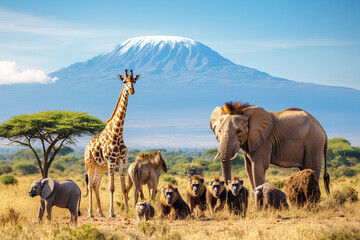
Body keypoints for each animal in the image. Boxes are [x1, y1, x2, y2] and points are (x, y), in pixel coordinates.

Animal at [84, 69, 141, 218]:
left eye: (134, 81)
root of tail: (87, 146)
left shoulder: (122, 160)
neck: (118, 133)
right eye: (124, 81)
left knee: (95, 185)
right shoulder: (111, 161)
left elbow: (123, 188)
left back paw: (100, 212)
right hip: (90, 163)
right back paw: (91, 213)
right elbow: (111, 188)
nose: (131, 90)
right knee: (90, 185)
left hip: (101, 166)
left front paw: (127, 210)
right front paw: (112, 213)